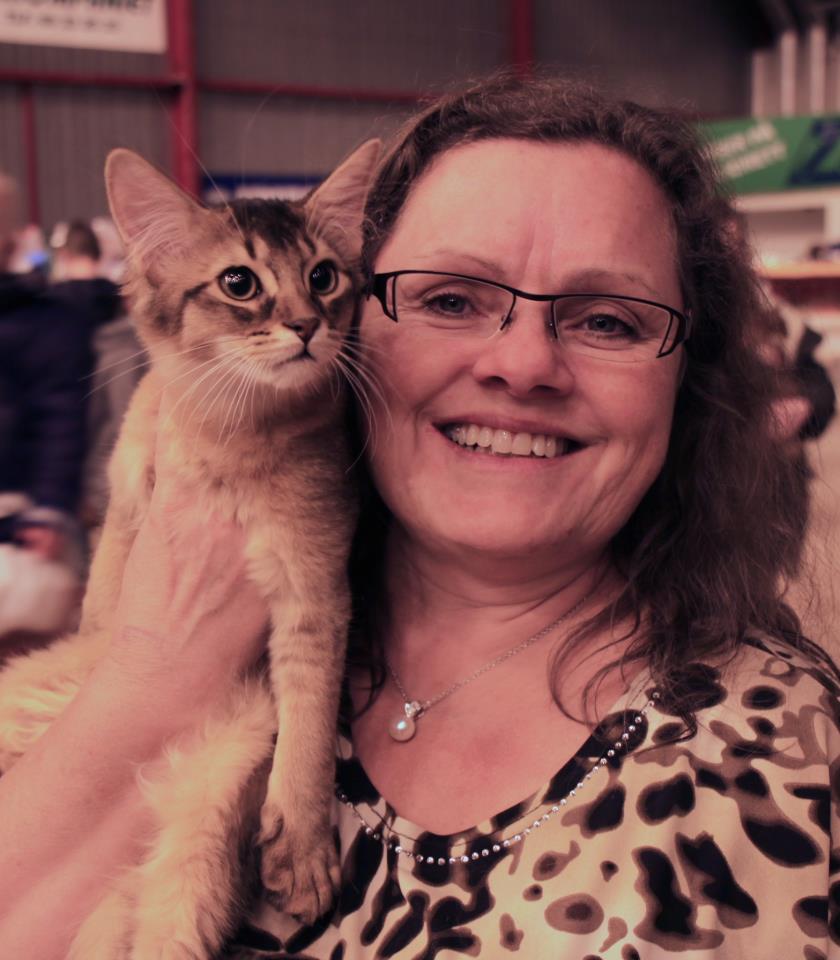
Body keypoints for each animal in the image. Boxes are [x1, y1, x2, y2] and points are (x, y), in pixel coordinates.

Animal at [0, 138, 380, 958]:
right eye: (240, 283)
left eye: (324, 276)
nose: (306, 325)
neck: (231, 435)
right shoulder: (125, 496)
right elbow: (103, 597)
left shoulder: (314, 583)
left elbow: (309, 722)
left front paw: (303, 845)